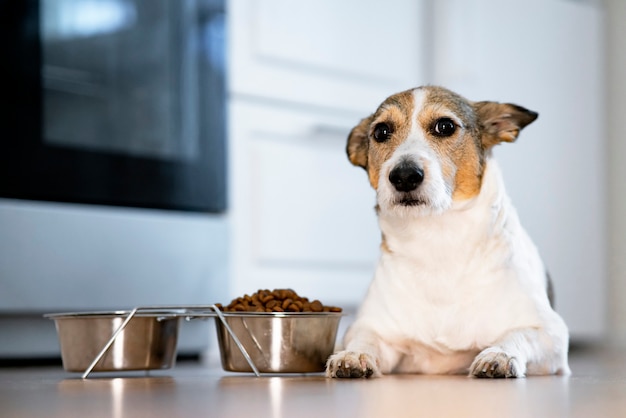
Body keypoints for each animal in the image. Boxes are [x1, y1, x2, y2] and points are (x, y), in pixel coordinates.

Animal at [326, 85, 572, 378]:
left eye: (445, 126)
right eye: (381, 132)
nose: (404, 176)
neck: (438, 237)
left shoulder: (552, 335)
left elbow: (518, 335)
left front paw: (499, 355)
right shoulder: (373, 328)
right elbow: (365, 339)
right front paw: (354, 355)